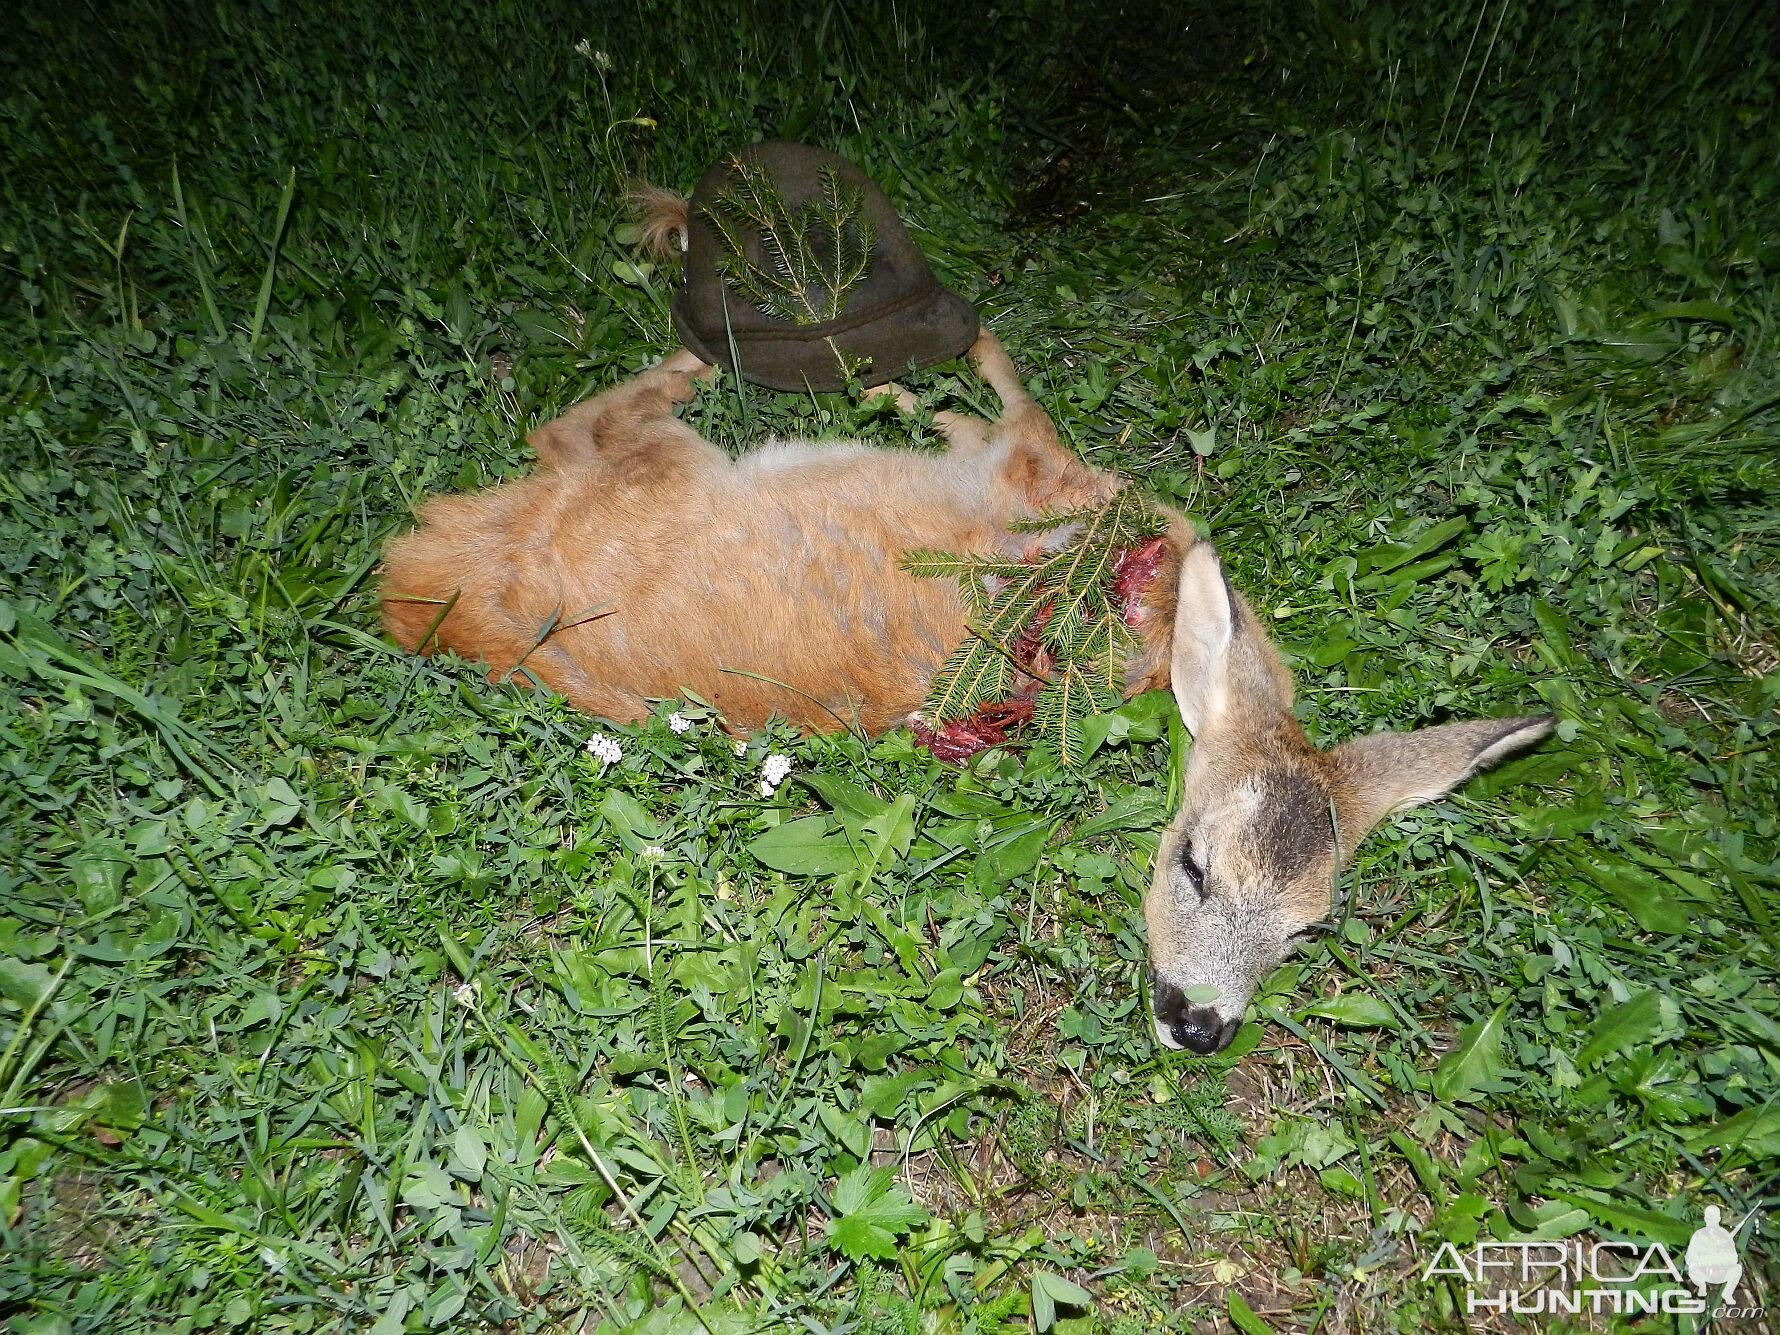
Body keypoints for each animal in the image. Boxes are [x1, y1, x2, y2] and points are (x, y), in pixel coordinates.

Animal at [386, 332, 1545, 1053]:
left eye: (1308, 931)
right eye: (1193, 865)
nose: (1198, 1024)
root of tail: (425, 584)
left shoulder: (1038, 476)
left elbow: (1002, 410)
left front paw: (917, 395)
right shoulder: (1042, 474)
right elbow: (1012, 393)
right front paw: (923, 387)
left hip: (650, 471)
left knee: (570, 430)